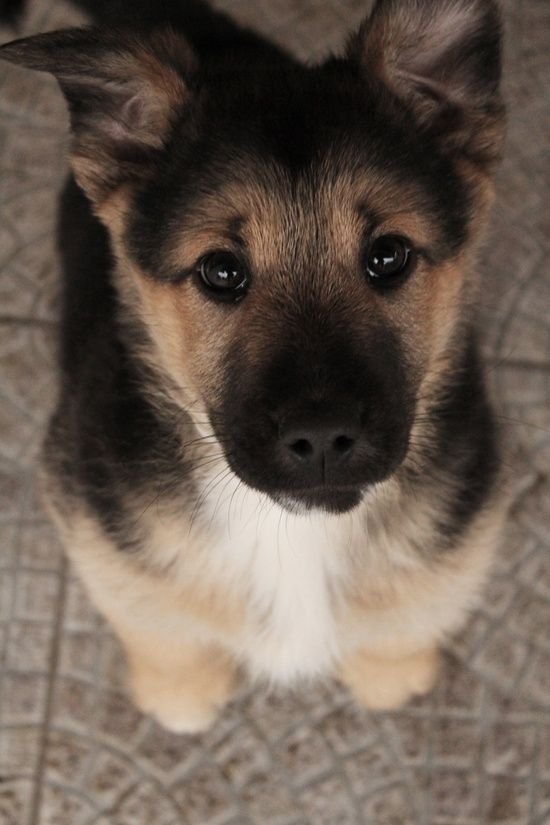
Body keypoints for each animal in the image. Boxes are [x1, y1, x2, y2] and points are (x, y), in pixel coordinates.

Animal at [0, 1, 508, 732]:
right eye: (220, 270)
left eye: (389, 255)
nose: (321, 438)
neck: (295, 534)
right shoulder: (91, 514)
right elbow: (154, 621)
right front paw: (180, 692)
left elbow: (417, 609)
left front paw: (392, 674)